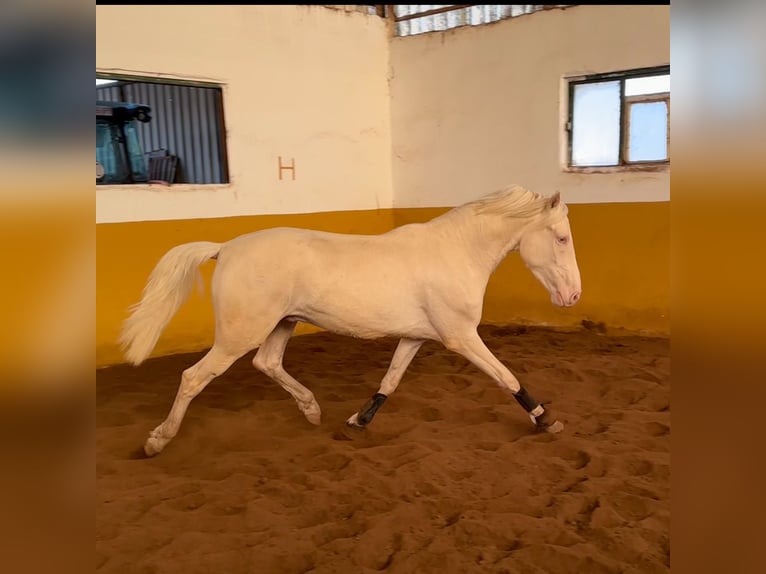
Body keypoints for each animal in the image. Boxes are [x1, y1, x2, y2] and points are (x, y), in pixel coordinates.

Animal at [120, 186, 584, 460]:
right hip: (240, 334)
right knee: (193, 377)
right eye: (561, 238)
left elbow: (390, 381)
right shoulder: (460, 336)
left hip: (282, 323)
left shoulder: (415, 337)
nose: (573, 296)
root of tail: (226, 247)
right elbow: (506, 377)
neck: (455, 252)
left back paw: (311, 410)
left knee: (267, 363)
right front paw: (546, 420)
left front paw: (357, 422)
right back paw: (156, 441)